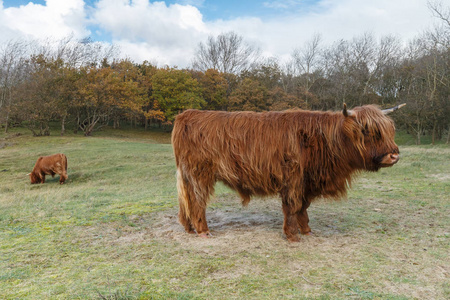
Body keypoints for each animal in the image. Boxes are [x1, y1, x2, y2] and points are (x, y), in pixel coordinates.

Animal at [171, 103, 404, 241]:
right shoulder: (293, 178)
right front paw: (293, 235)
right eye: (367, 131)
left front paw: (307, 230)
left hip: (187, 176)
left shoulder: (307, 182)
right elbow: (292, 206)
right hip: (200, 174)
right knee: (197, 201)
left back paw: (188, 228)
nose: (394, 155)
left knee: (185, 200)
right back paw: (203, 230)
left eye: (389, 130)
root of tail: (187, 114)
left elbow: (302, 207)